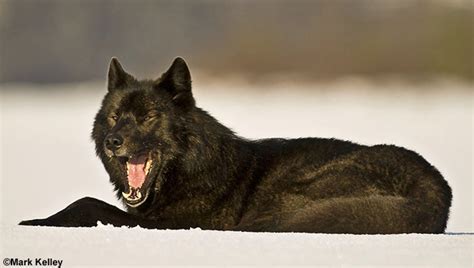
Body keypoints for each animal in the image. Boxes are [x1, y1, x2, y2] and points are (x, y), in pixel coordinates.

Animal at [20, 58, 454, 232]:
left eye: (147, 118)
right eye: (114, 117)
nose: (113, 142)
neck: (190, 169)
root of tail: (437, 189)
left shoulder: (176, 222)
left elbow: (87, 203)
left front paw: (32, 222)